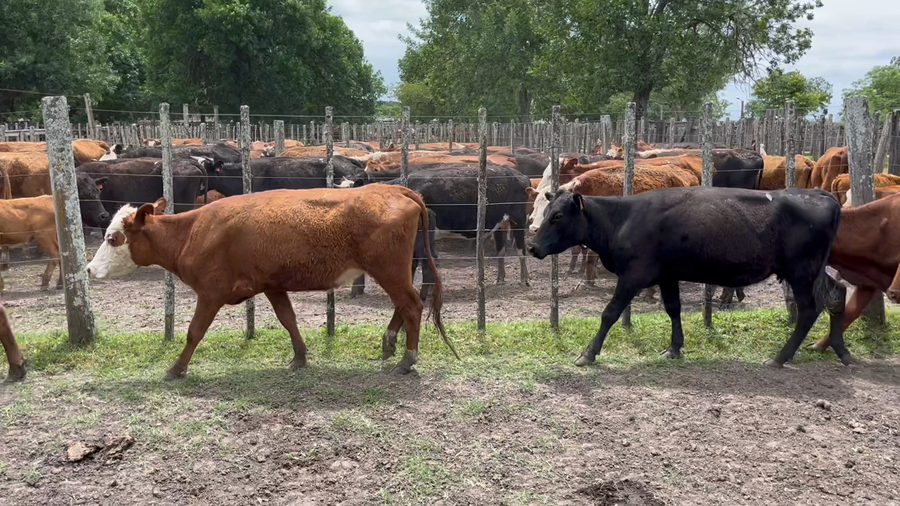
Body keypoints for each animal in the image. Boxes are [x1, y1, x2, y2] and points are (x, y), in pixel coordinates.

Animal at [85, 187, 458, 378]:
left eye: (114, 238)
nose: (88, 270)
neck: (194, 231)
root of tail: (391, 188)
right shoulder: (272, 285)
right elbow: (288, 320)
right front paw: (300, 357)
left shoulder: (211, 292)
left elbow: (194, 332)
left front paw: (176, 368)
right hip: (396, 269)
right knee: (404, 305)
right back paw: (389, 342)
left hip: (388, 269)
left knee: (411, 305)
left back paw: (408, 359)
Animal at [528, 187, 849, 367]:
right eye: (546, 211)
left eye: (558, 215)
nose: (532, 247)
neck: (623, 218)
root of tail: (821, 194)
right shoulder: (667, 275)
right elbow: (673, 309)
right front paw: (674, 348)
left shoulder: (633, 276)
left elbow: (610, 313)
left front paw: (588, 354)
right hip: (815, 270)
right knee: (838, 293)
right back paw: (839, 349)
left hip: (802, 272)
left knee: (810, 310)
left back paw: (781, 357)